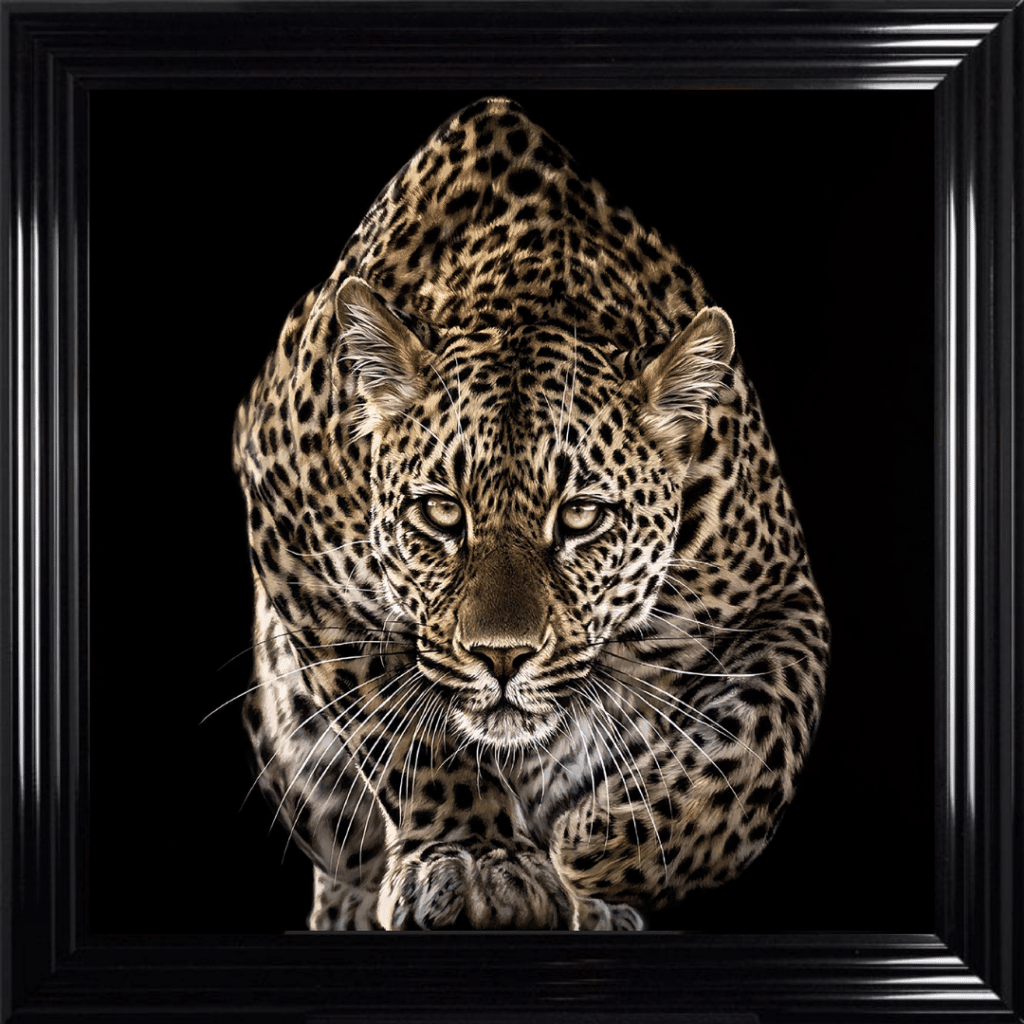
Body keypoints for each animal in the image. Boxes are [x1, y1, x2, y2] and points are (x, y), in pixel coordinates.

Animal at [231, 96, 829, 931]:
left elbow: (758, 747)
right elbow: (401, 723)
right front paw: (476, 857)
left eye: (579, 518)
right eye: (441, 513)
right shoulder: (292, 535)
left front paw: (603, 845)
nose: (503, 657)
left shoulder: (781, 597)